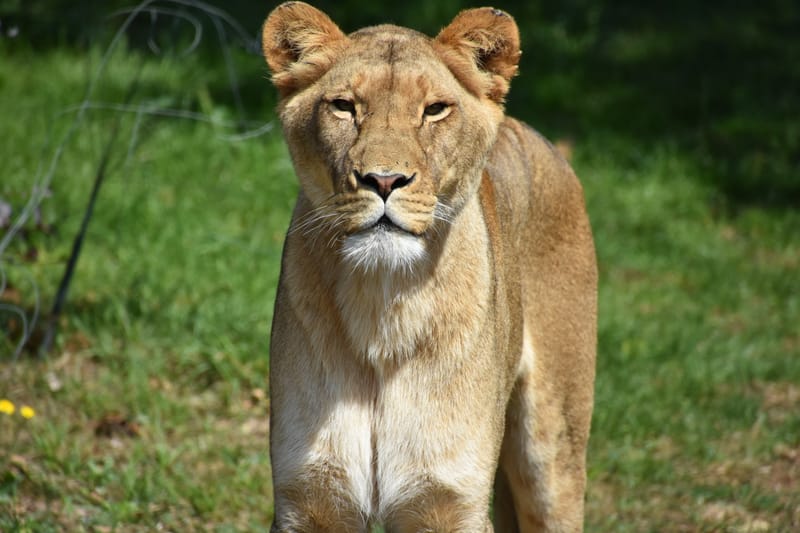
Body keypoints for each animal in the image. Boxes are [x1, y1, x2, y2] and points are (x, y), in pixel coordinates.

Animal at [262, 3, 597, 532]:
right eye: (344, 106)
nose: (383, 180)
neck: (382, 308)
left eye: (435, 109)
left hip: (553, 453)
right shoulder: (310, 499)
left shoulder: (450, 502)